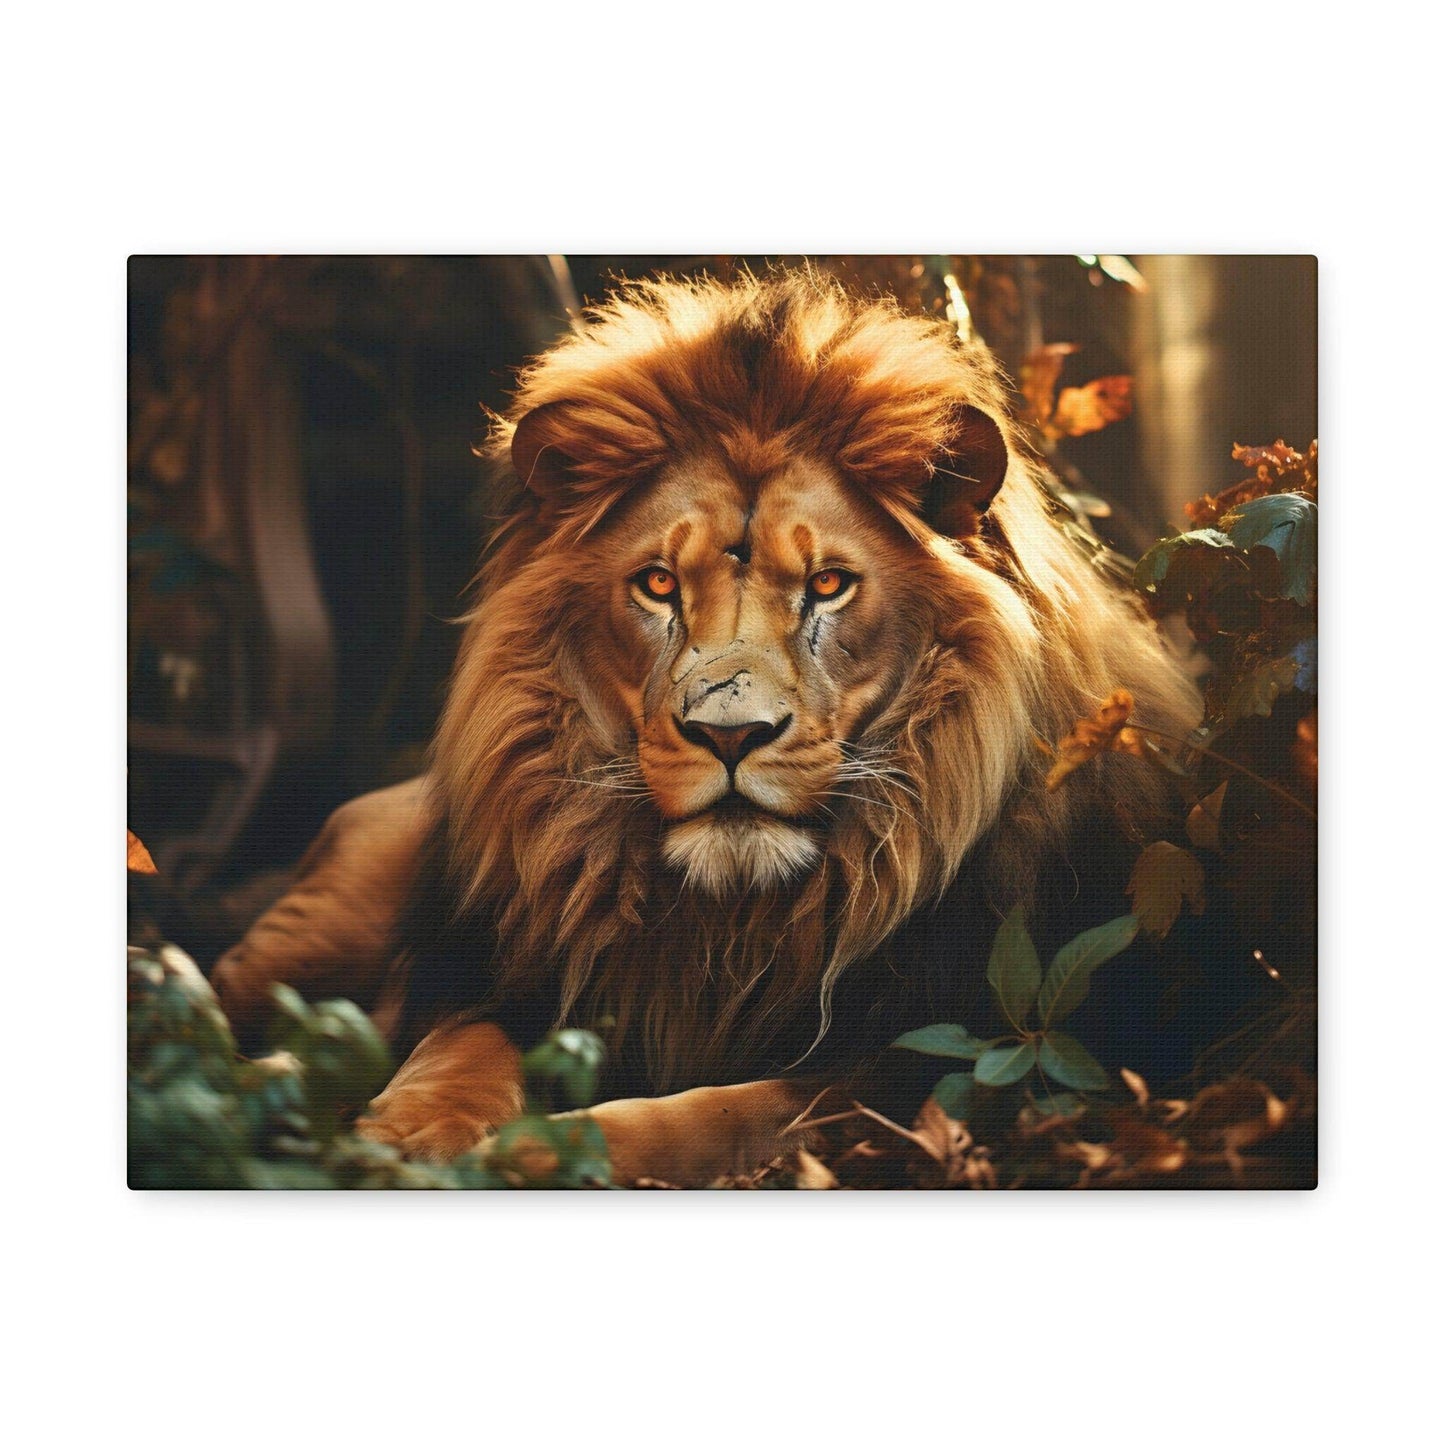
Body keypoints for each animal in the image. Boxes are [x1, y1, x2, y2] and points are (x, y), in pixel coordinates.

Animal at [211, 270, 1201, 1183]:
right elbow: (456, 1048)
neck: (726, 923)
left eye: (828, 584)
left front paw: (532, 1147)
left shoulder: (932, 1065)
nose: (730, 736)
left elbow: (712, 1113)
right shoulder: (503, 981)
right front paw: (404, 1133)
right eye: (658, 585)